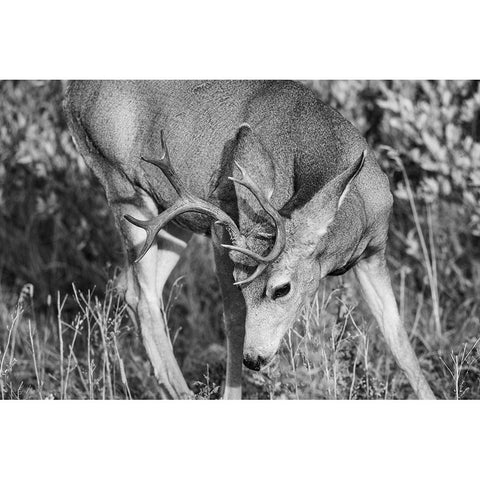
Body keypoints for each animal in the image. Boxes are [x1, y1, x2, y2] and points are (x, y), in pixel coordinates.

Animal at [62, 80, 436, 400]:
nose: (253, 359)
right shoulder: (222, 236)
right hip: (123, 188)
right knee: (144, 296)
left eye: (282, 289)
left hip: (172, 218)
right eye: (243, 286)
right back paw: (183, 391)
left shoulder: (375, 252)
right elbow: (234, 322)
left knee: (128, 286)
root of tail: (71, 94)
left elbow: (399, 340)